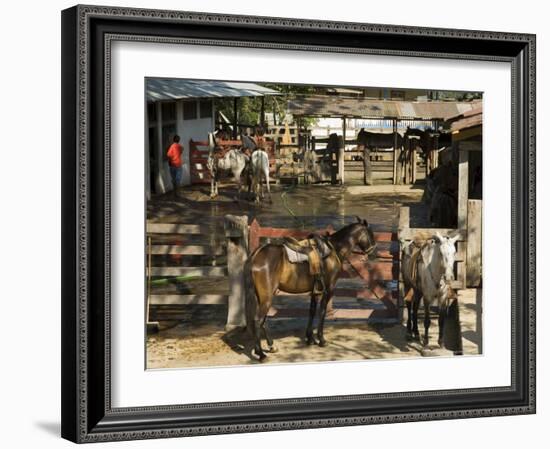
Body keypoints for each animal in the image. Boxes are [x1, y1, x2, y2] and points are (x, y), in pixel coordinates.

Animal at [249, 217, 380, 360]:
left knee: (263, 320)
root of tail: (257, 254)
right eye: (370, 233)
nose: (373, 250)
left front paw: (310, 338)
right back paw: (260, 353)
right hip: (266, 297)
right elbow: (322, 312)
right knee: (257, 320)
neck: (334, 249)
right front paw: (321, 339)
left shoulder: (315, 291)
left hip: (262, 296)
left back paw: (271, 346)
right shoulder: (328, 289)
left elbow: (311, 311)